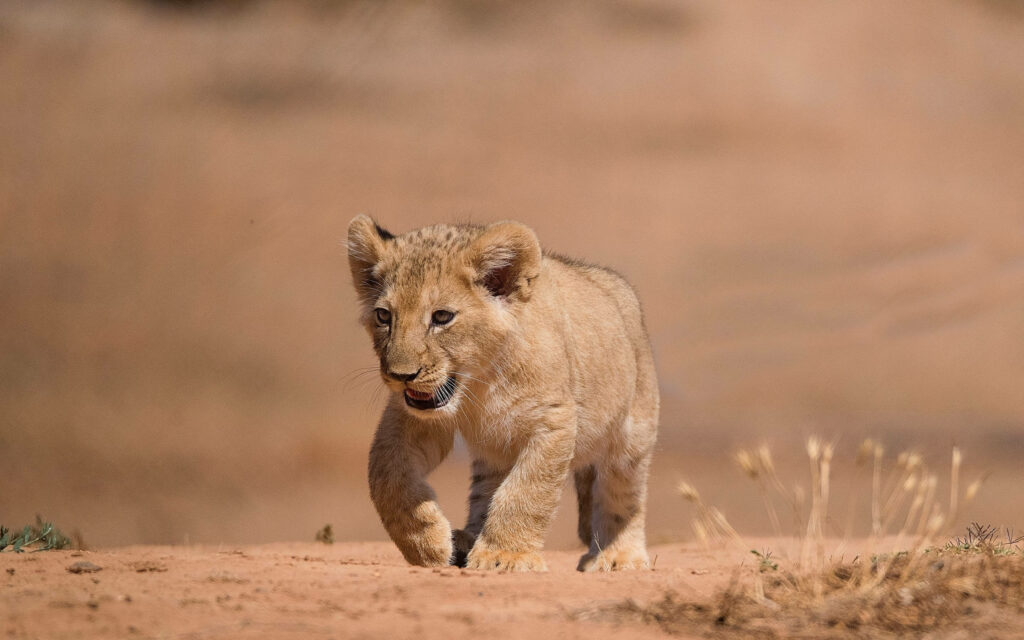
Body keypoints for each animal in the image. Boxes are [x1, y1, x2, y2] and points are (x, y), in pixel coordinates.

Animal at [347, 215, 659, 572]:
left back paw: (618, 555)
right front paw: (427, 543)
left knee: (623, 493)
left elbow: (526, 491)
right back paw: (465, 540)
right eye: (384, 315)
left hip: (633, 435)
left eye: (442, 317)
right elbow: (387, 475)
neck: (479, 384)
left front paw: (504, 555)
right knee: (485, 491)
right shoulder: (412, 418)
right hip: (495, 451)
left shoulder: (553, 420)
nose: (401, 376)